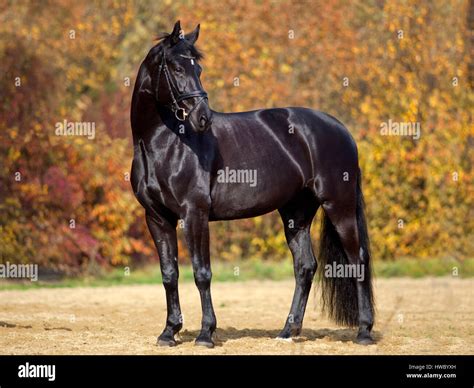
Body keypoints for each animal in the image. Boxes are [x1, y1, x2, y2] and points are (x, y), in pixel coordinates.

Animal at [130, 20, 374, 348]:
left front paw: (206, 334)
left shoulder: (195, 214)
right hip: (296, 213)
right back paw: (288, 331)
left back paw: (364, 332)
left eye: (198, 69)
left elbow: (202, 273)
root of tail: (341, 130)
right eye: (177, 67)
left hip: (339, 206)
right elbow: (169, 274)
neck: (163, 144)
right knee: (305, 267)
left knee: (356, 259)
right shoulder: (157, 217)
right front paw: (169, 332)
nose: (203, 118)